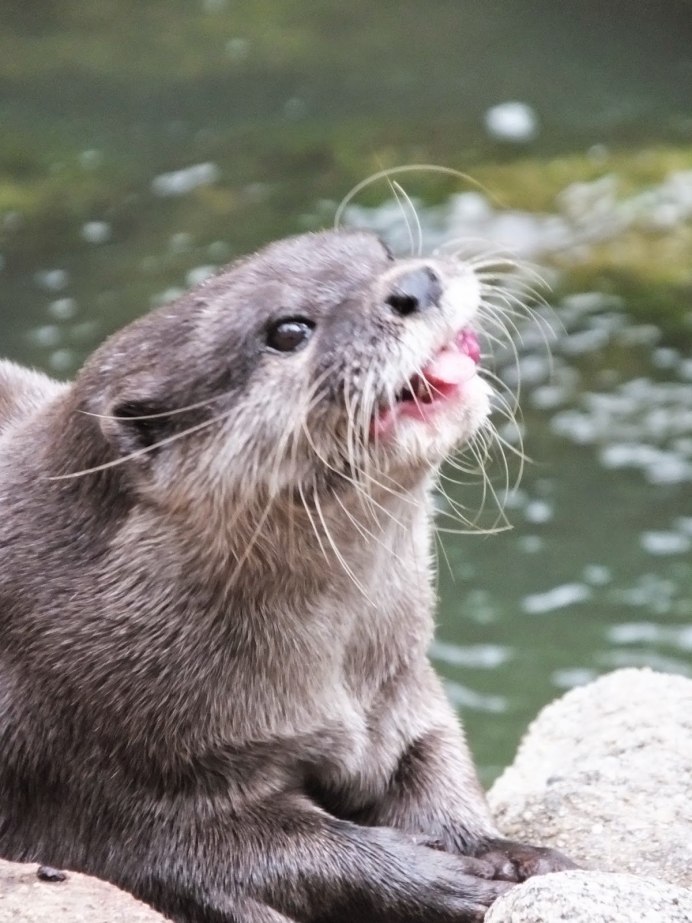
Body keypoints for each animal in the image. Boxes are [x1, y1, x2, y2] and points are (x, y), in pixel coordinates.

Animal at [0, 230, 574, 923]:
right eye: (289, 330)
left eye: (381, 250)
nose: (417, 284)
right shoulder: (114, 777)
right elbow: (264, 854)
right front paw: (448, 881)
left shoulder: (402, 683)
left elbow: (435, 762)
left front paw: (507, 852)